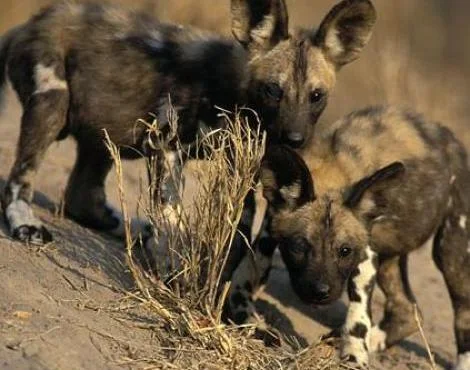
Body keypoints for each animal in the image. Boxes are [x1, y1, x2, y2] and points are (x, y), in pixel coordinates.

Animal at [0, 0, 374, 249]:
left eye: (316, 96)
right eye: (273, 90)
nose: (294, 139)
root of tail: (34, 20)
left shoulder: (241, 172)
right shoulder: (166, 148)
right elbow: (173, 218)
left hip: (104, 134)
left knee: (81, 193)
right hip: (51, 102)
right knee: (20, 179)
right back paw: (25, 222)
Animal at [231, 105, 470, 368]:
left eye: (344, 251)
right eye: (298, 247)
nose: (320, 292)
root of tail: (449, 137)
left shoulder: (365, 252)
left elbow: (358, 310)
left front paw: (355, 354)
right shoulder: (269, 228)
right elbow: (250, 269)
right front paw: (247, 319)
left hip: (451, 252)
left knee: (462, 311)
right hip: (390, 258)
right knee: (407, 309)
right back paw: (364, 339)